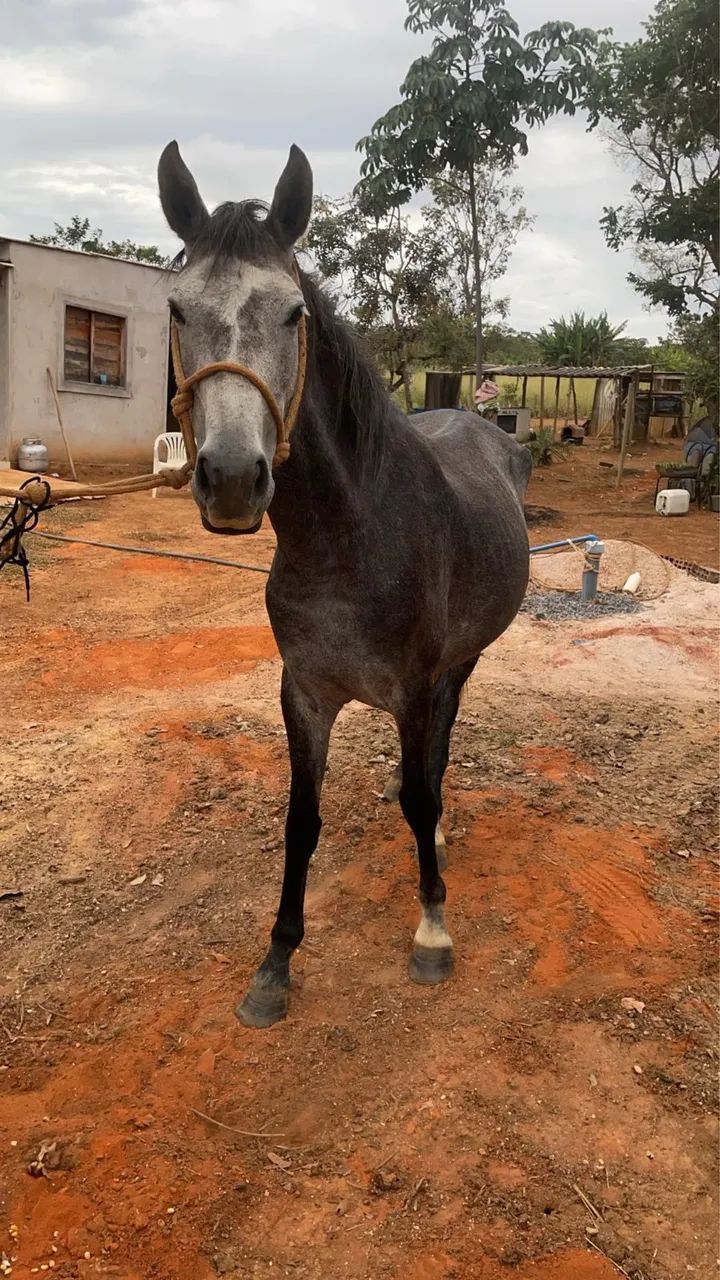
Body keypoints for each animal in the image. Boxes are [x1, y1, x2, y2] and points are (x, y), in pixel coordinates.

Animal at [158, 141, 531, 1028]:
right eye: (178, 310)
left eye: (294, 314)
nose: (231, 480)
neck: (347, 541)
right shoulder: (304, 692)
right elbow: (302, 821)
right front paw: (274, 965)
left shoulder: (415, 686)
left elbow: (418, 798)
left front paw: (432, 928)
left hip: (462, 661)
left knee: (438, 752)